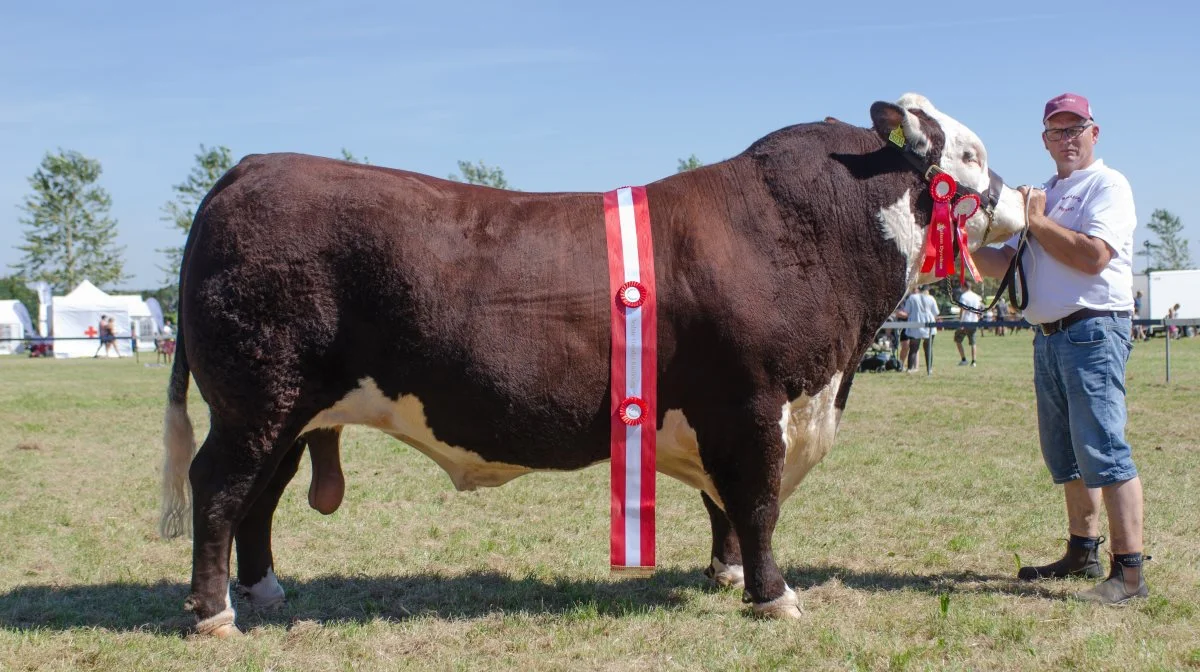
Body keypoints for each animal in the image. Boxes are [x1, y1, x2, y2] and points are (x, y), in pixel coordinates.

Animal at [159, 93, 1022, 633]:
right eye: (973, 153)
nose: (1020, 201)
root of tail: (251, 166)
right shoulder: (752, 407)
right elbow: (757, 505)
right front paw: (774, 597)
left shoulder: (717, 414)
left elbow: (723, 507)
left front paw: (725, 576)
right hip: (254, 401)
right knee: (219, 488)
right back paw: (214, 615)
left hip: (287, 411)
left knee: (259, 497)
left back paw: (262, 591)